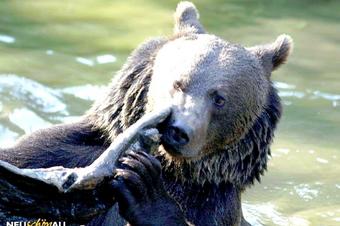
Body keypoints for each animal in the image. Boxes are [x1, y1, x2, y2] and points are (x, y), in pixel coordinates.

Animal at [0, 1, 292, 226]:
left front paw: (145, 187)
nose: (179, 130)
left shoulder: (214, 204)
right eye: (178, 83)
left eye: (219, 99)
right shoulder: (56, 150)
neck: (171, 167)